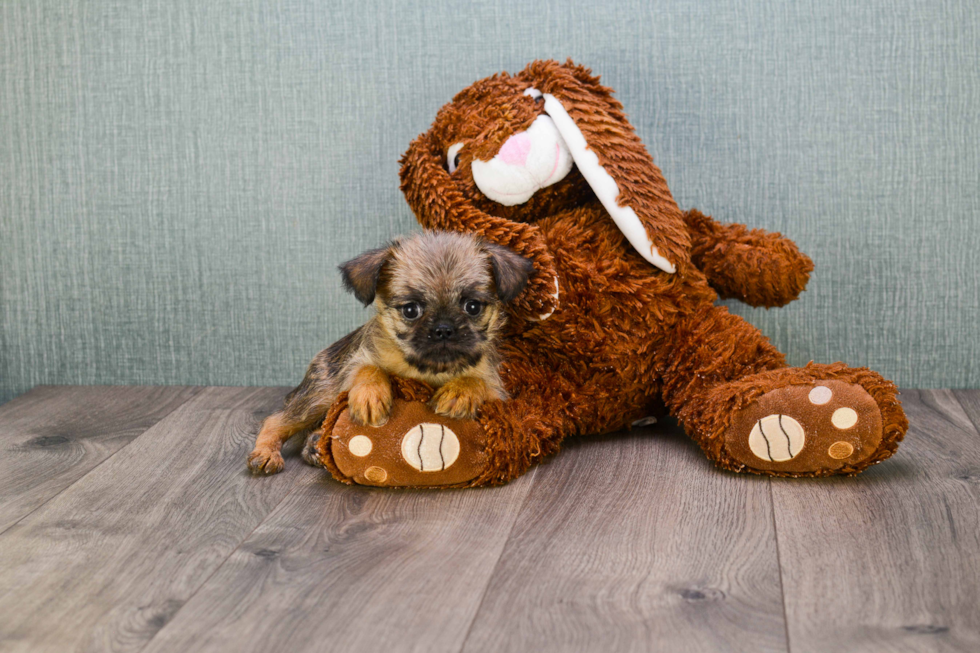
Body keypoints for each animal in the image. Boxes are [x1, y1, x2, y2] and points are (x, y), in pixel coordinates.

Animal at [249, 229, 532, 474]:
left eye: (472, 307)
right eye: (410, 310)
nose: (443, 329)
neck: (430, 370)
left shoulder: (496, 392)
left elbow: (477, 381)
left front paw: (460, 391)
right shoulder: (359, 358)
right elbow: (368, 368)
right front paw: (370, 395)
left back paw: (315, 444)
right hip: (320, 395)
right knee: (276, 420)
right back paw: (266, 453)